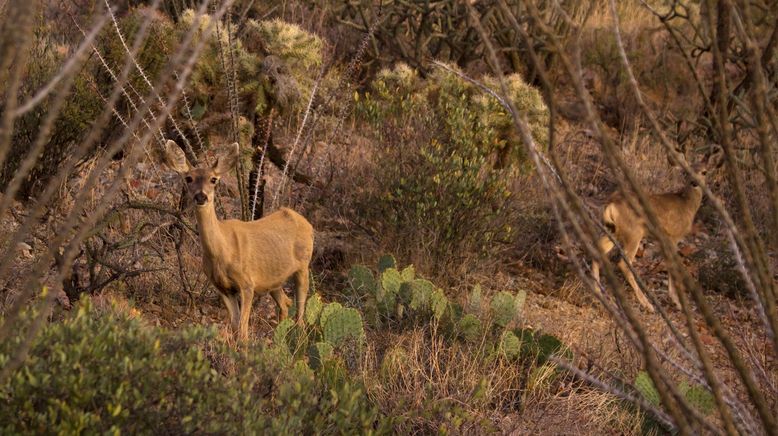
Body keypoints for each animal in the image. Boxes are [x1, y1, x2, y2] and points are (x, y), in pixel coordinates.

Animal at [163, 140, 312, 340]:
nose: (201, 196)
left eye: (213, 179)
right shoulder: (223, 288)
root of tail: (306, 223)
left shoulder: (247, 283)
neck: (221, 251)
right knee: (286, 304)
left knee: (300, 314)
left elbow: (243, 329)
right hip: (273, 279)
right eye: (188, 178)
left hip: (303, 265)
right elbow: (234, 326)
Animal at [592, 148, 724, 312]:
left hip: (614, 231)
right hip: (634, 233)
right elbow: (672, 266)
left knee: (598, 248)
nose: (694, 183)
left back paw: (598, 292)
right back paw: (647, 304)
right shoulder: (672, 236)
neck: (686, 205)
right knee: (623, 263)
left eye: (704, 172)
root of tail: (611, 204)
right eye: (686, 172)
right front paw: (677, 302)